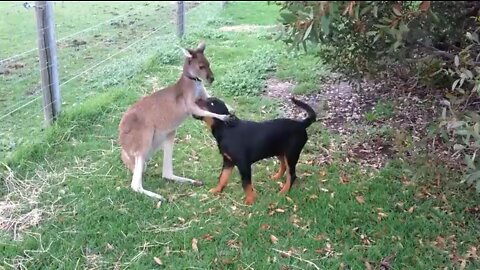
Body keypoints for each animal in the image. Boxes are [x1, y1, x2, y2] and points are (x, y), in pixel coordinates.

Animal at [117, 42, 235, 201]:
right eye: (201, 66)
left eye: (209, 63)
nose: (211, 79)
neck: (194, 82)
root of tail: (123, 143)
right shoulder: (190, 104)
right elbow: (203, 112)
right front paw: (224, 117)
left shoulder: (204, 96)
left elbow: (216, 100)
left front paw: (231, 110)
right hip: (143, 137)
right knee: (135, 184)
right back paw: (159, 197)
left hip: (168, 134)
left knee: (166, 173)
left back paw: (193, 182)